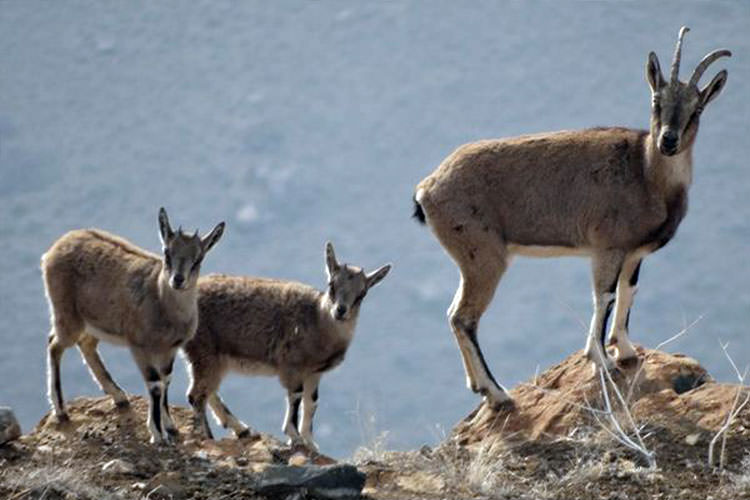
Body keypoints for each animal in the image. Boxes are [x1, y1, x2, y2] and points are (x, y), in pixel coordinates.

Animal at [42, 209, 225, 444]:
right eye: (167, 252)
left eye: (198, 258)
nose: (178, 279)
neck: (162, 303)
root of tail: (55, 248)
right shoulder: (139, 347)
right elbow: (154, 384)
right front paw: (157, 434)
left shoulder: (170, 350)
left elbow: (166, 380)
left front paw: (170, 427)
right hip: (67, 314)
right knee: (55, 345)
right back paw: (61, 410)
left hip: (93, 320)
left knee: (86, 344)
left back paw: (119, 396)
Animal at [187, 242, 394, 450]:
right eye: (332, 285)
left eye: (362, 293)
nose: (340, 311)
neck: (318, 320)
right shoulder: (293, 366)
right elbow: (296, 397)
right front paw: (294, 436)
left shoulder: (314, 373)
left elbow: (311, 402)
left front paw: (310, 441)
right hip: (205, 351)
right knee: (196, 396)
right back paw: (207, 436)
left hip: (212, 359)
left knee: (209, 392)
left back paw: (242, 429)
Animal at [414, 27, 732, 408]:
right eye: (657, 101)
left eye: (696, 108)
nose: (668, 141)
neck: (645, 173)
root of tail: (428, 187)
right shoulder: (607, 248)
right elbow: (604, 297)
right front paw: (602, 361)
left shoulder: (634, 254)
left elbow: (628, 292)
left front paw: (625, 352)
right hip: (483, 257)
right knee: (464, 317)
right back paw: (498, 392)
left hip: (471, 261)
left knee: (453, 314)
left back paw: (481, 388)